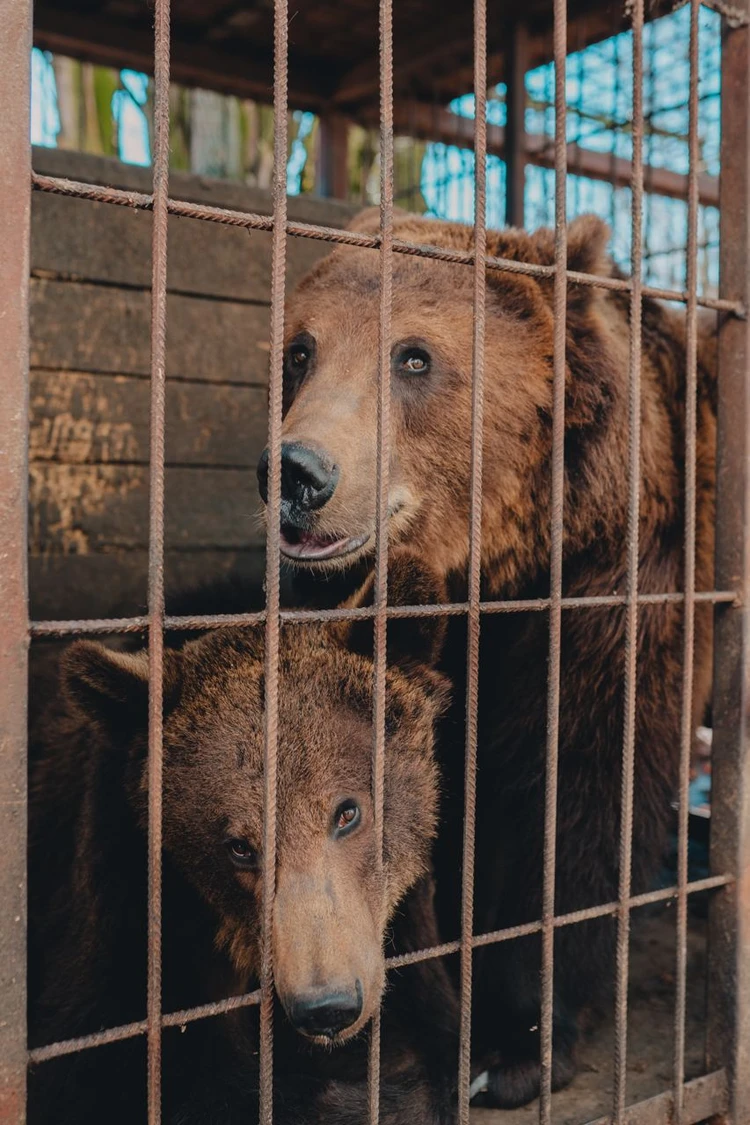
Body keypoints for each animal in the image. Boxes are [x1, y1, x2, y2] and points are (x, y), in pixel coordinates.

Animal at [259, 209, 719, 1107]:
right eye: (300, 350)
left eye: (414, 356)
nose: (297, 471)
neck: (500, 564)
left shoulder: (614, 586)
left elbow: (582, 787)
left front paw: (517, 1042)